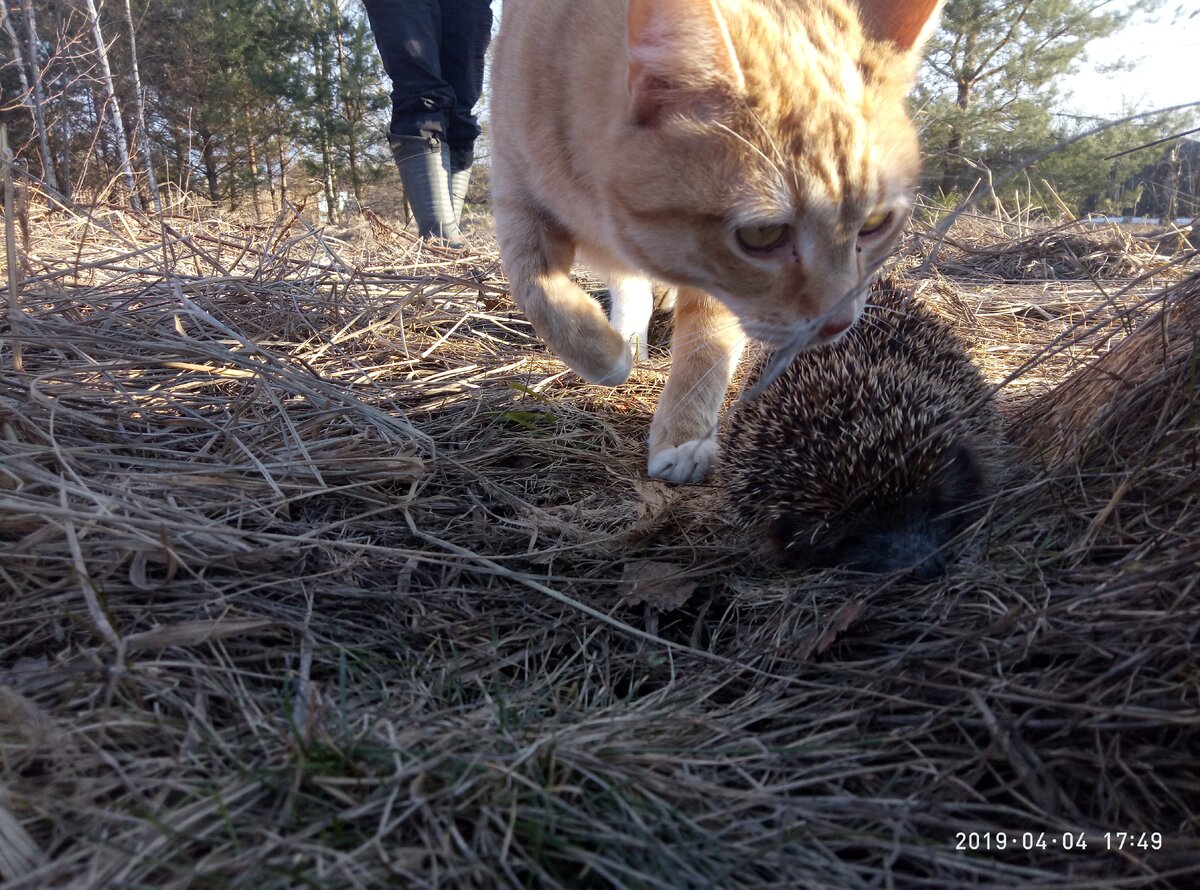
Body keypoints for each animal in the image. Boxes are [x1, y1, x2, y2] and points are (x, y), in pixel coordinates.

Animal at [492, 0, 940, 484]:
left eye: (875, 222)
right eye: (762, 234)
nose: (837, 323)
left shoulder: (715, 284)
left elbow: (706, 343)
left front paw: (683, 436)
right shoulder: (515, 193)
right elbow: (536, 286)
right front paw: (608, 355)